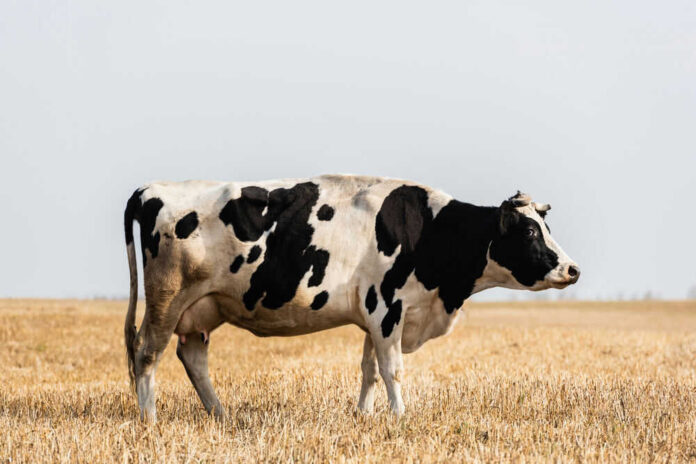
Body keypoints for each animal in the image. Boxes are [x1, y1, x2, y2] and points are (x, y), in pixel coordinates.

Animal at [123, 174, 579, 422]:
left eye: (545, 226)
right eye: (530, 231)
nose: (573, 269)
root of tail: (149, 189)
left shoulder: (376, 314)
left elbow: (370, 370)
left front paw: (365, 415)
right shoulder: (389, 306)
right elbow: (393, 370)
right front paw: (400, 416)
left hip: (202, 308)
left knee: (192, 357)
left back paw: (220, 415)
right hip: (167, 298)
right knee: (146, 353)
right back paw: (150, 420)